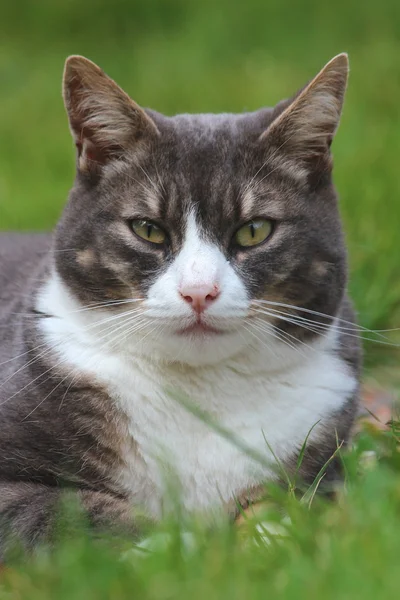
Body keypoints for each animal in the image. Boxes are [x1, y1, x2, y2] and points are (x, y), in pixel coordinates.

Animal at [0, 52, 362, 556]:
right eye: (148, 229)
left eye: (255, 230)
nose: (199, 292)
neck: (200, 390)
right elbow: (83, 515)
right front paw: (189, 548)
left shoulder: (322, 455)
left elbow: (284, 510)